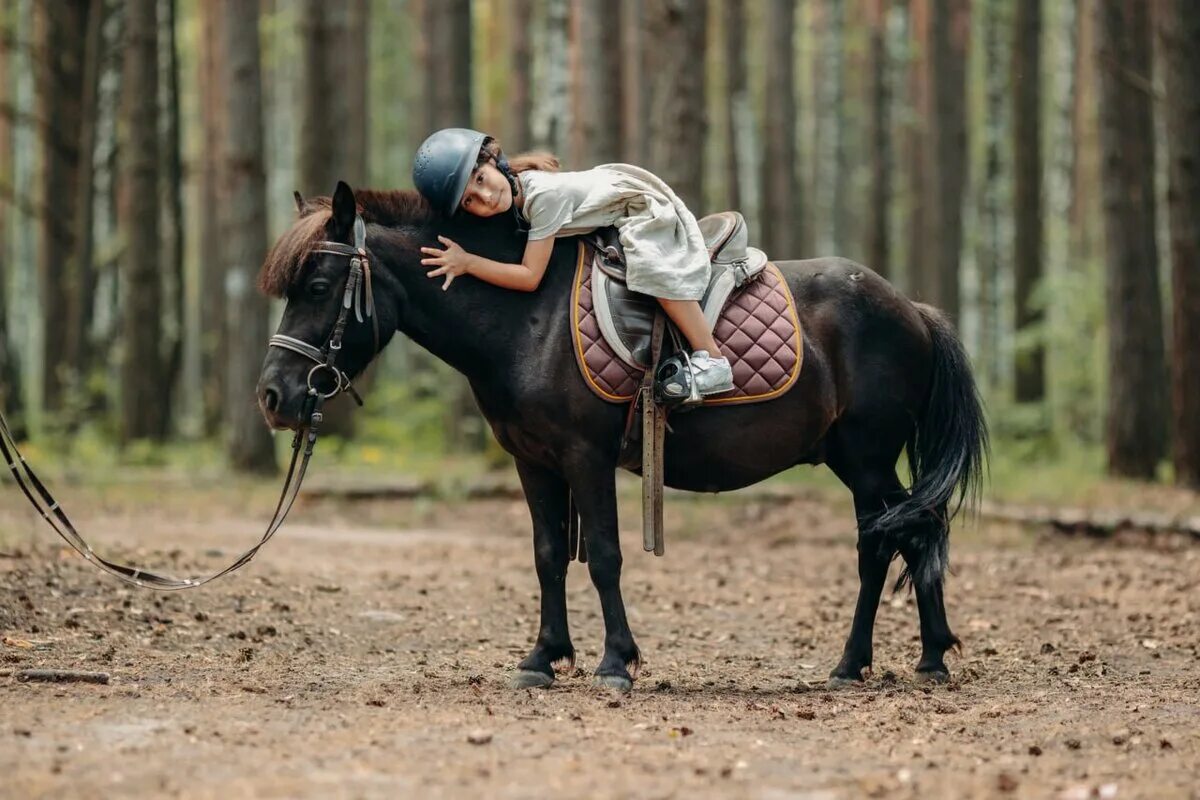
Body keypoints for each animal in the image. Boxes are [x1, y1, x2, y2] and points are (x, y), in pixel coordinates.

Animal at [253, 183, 984, 695]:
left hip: (866, 455)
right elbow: (549, 555)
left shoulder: (587, 457)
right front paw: (542, 658)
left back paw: (873, 660)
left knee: (890, 539)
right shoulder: (533, 462)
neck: (527, 317)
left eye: (317, 285)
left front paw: (615, 662)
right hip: (853, 459)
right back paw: (913, 656)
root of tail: (912, 309)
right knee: (908, 532)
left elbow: (603, 556)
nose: (274, 397)